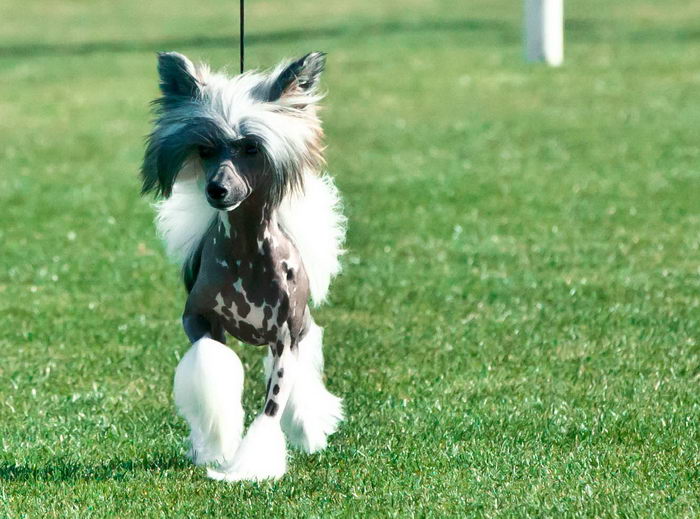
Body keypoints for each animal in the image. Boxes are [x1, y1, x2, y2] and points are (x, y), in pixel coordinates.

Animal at [142, 50, 348, 482]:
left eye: (251, 148)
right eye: (205, 150)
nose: (217, 189)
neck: (245, 254)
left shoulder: (285, 337)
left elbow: (273, 402)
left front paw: (251, 466)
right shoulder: (199, 320)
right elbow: (212, 363)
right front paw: (218, 442)